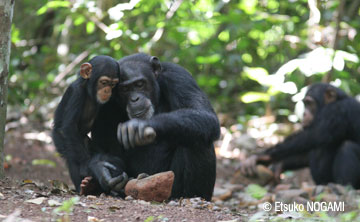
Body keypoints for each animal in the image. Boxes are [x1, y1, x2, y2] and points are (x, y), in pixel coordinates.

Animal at [52, 55, 127, 194]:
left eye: (113, 84)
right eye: (104, 82)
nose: (107, 90)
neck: (89, 92)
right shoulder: (75, 92)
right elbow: (69, 127)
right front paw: (90, 167)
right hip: (59, 139)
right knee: (71, 155)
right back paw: (85, 187)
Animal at [90, 53, 219, 200]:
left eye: (139, 84)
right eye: (124, 89)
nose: (134, 99)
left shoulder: (179, 77)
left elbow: (204, 113)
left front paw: (139, 126)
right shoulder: (104, 98)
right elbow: (100, 148)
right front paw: (102, 169)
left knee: (198, 138)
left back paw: (192, 196)